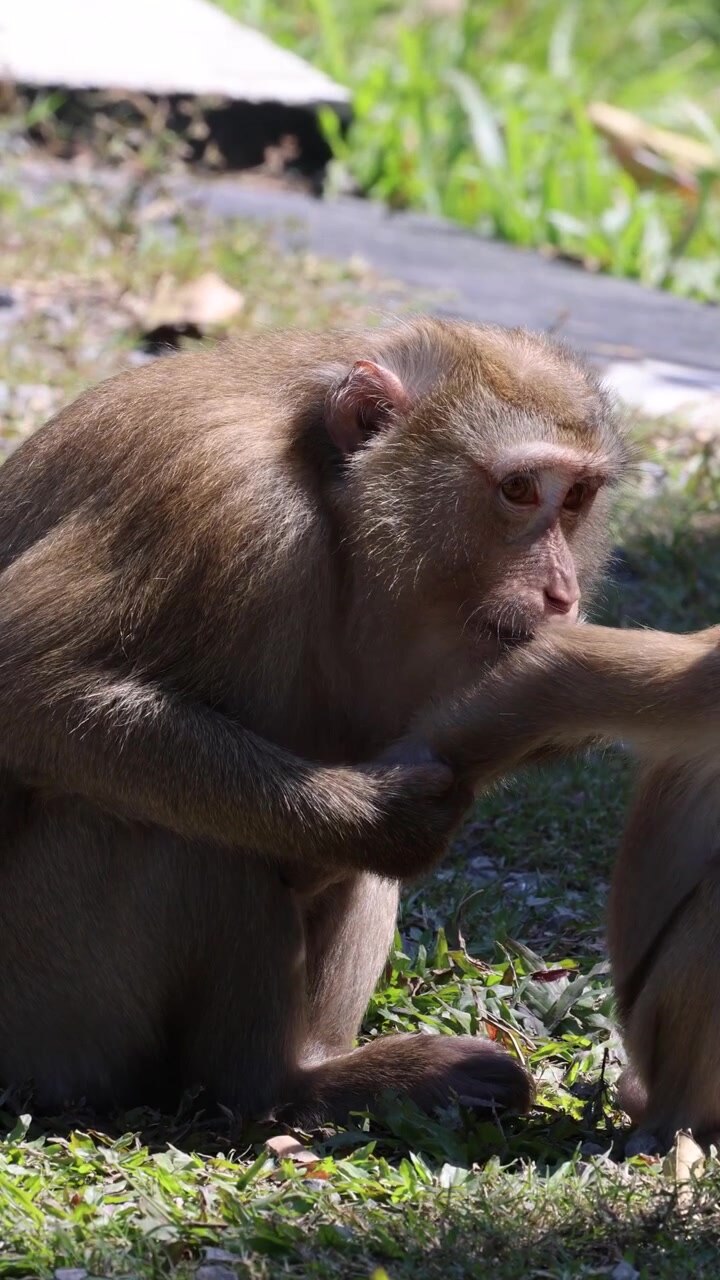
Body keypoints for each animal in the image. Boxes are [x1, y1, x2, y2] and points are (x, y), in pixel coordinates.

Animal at [0, 316, 628, 1124]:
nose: (562, 593)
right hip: (47, 1006)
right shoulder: (222, 498)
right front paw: (381, 817)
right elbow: (26, 687)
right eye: (519, 490)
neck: (326, 501)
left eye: (576, 496)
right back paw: (277, 1085)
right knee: (182, 827)